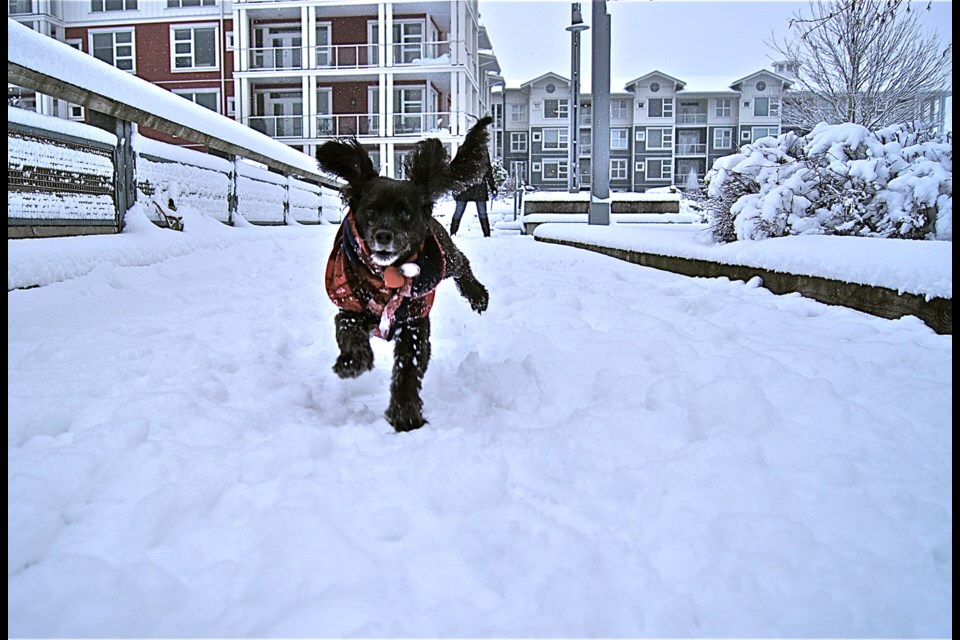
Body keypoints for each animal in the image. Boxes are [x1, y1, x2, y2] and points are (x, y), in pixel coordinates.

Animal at [316, 117, 492, 432]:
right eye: (370, 212)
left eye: (405, 213)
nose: (384, 235)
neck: (385, 276)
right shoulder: (348, 304)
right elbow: (348, 328)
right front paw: (353, 361)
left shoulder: (414, 322)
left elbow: (408, 367)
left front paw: (405, 414)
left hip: (445, 257)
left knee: (461, 262)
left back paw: (477, 295)